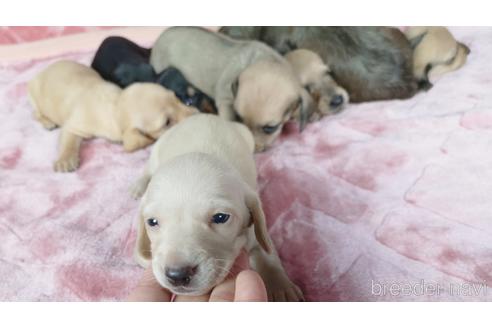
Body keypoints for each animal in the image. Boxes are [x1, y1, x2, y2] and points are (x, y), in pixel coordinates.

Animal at [28, 59, 196, 172]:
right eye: (167, 122)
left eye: (176, 98)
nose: (196, 114)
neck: (116, 104)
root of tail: (44, 70)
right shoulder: (75, 125)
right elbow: (68, 140)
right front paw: (65, 160)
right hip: (33, 93)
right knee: (36, 113)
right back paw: (47, 122)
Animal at [131, 114, 304, 302]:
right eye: (152, 222)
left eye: (220, 218)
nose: (177, 275)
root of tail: (202, 115)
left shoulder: (254, 230)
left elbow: (267, 252)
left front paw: (282, 288)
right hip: (158, 146)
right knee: (148, 167)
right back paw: (139, 184)